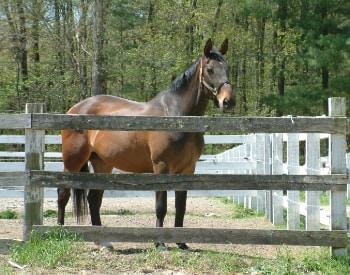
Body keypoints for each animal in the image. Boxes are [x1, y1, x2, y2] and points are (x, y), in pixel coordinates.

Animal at [59, 38, 235, 250]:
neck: (176, 116)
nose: (228, 101)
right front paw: (160, 243)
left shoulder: (187, 169)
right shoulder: (161, 167)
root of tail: (74, 109)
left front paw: (181, 242)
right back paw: (56, 232)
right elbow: (161, 206)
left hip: (102, 164)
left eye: (227, 68)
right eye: (210, 69)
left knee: (93, 199)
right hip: (73, 162)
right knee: (63, 193)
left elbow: (181, 206)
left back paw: (103, 241)